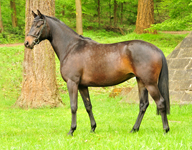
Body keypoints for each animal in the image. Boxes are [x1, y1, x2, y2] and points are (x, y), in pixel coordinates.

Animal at [24, 9, 170, 135]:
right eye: (32, 24)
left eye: (39, 25)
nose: (27, 43)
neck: (71, 47)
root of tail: (157, 49)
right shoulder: (82, 85)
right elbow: (88, 106)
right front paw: (93, 128)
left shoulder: (72, 83)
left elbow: (73, 106)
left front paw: (71, 130)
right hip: (141, 82)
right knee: (143, 105)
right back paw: (134, 129)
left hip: (150, 83)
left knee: (161, 103)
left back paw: (165, 130)